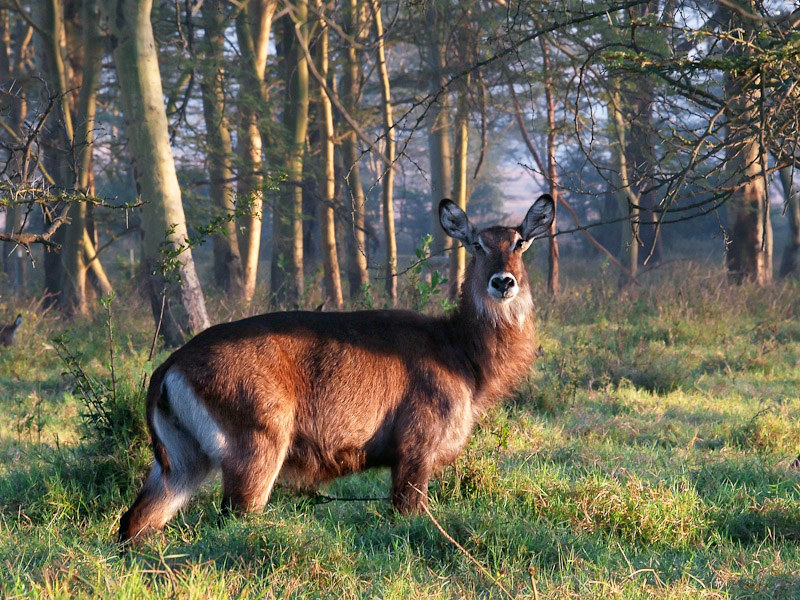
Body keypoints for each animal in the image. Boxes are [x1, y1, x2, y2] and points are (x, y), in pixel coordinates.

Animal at [120, 196, 556, 544]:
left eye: (519, 242)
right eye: (477, 244)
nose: (503, 282)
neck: (461, 354)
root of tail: (169, 366)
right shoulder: (416, 447)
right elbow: (407, 517)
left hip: (181, 461)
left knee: (136, 521)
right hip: (256, 447)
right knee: (232, 521)